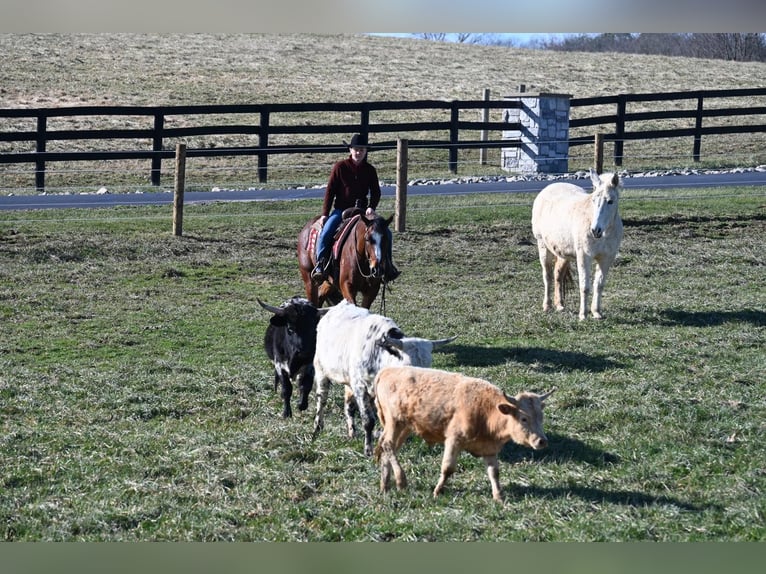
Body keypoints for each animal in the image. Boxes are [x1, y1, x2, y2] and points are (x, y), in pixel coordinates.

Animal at [376, 368, 556, 504]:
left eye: (541, 416)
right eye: (524, 418)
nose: (542, 441)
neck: (486, 411)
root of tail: (386, 371)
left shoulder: (489, 449)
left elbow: (494, 472)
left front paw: (498, 496)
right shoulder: (454, 439)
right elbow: (448, 468)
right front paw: (437, 491)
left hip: (405, 427)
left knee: (388, 448)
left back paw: (385, 485)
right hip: (394, 421)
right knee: (388, 445)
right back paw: (401, 480)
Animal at [536, 169, 624, 322]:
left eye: (610, 201)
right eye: (593, 200)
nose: (595, 230)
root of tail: (547, 189)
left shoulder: (606, 258)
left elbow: (599, 285)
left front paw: (596, 312)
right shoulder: (584, 256)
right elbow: (585, 286)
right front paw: (583, 314)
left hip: (563, 253)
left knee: (558, 274)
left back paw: (559, 305)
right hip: (543, 246)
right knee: (547, 276)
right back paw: (547, 306)